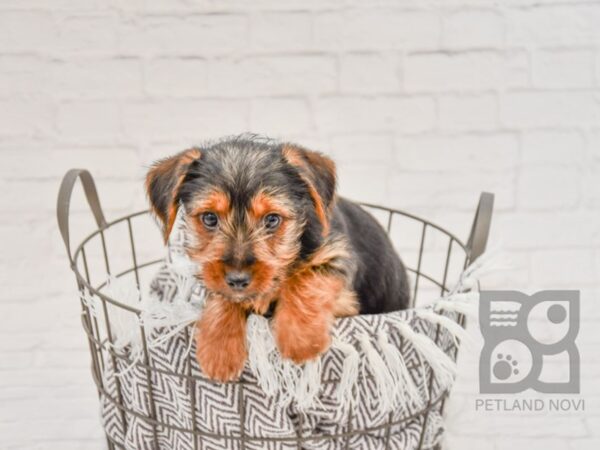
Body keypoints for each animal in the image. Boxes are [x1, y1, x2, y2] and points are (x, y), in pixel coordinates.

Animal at [146, 136, 410, 380]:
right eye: (209, 218)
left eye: (272, 219)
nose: (238, 279)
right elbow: (221, 296)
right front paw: (219, 350)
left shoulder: (338, 262)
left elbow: (307, 280)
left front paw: (301, 340)